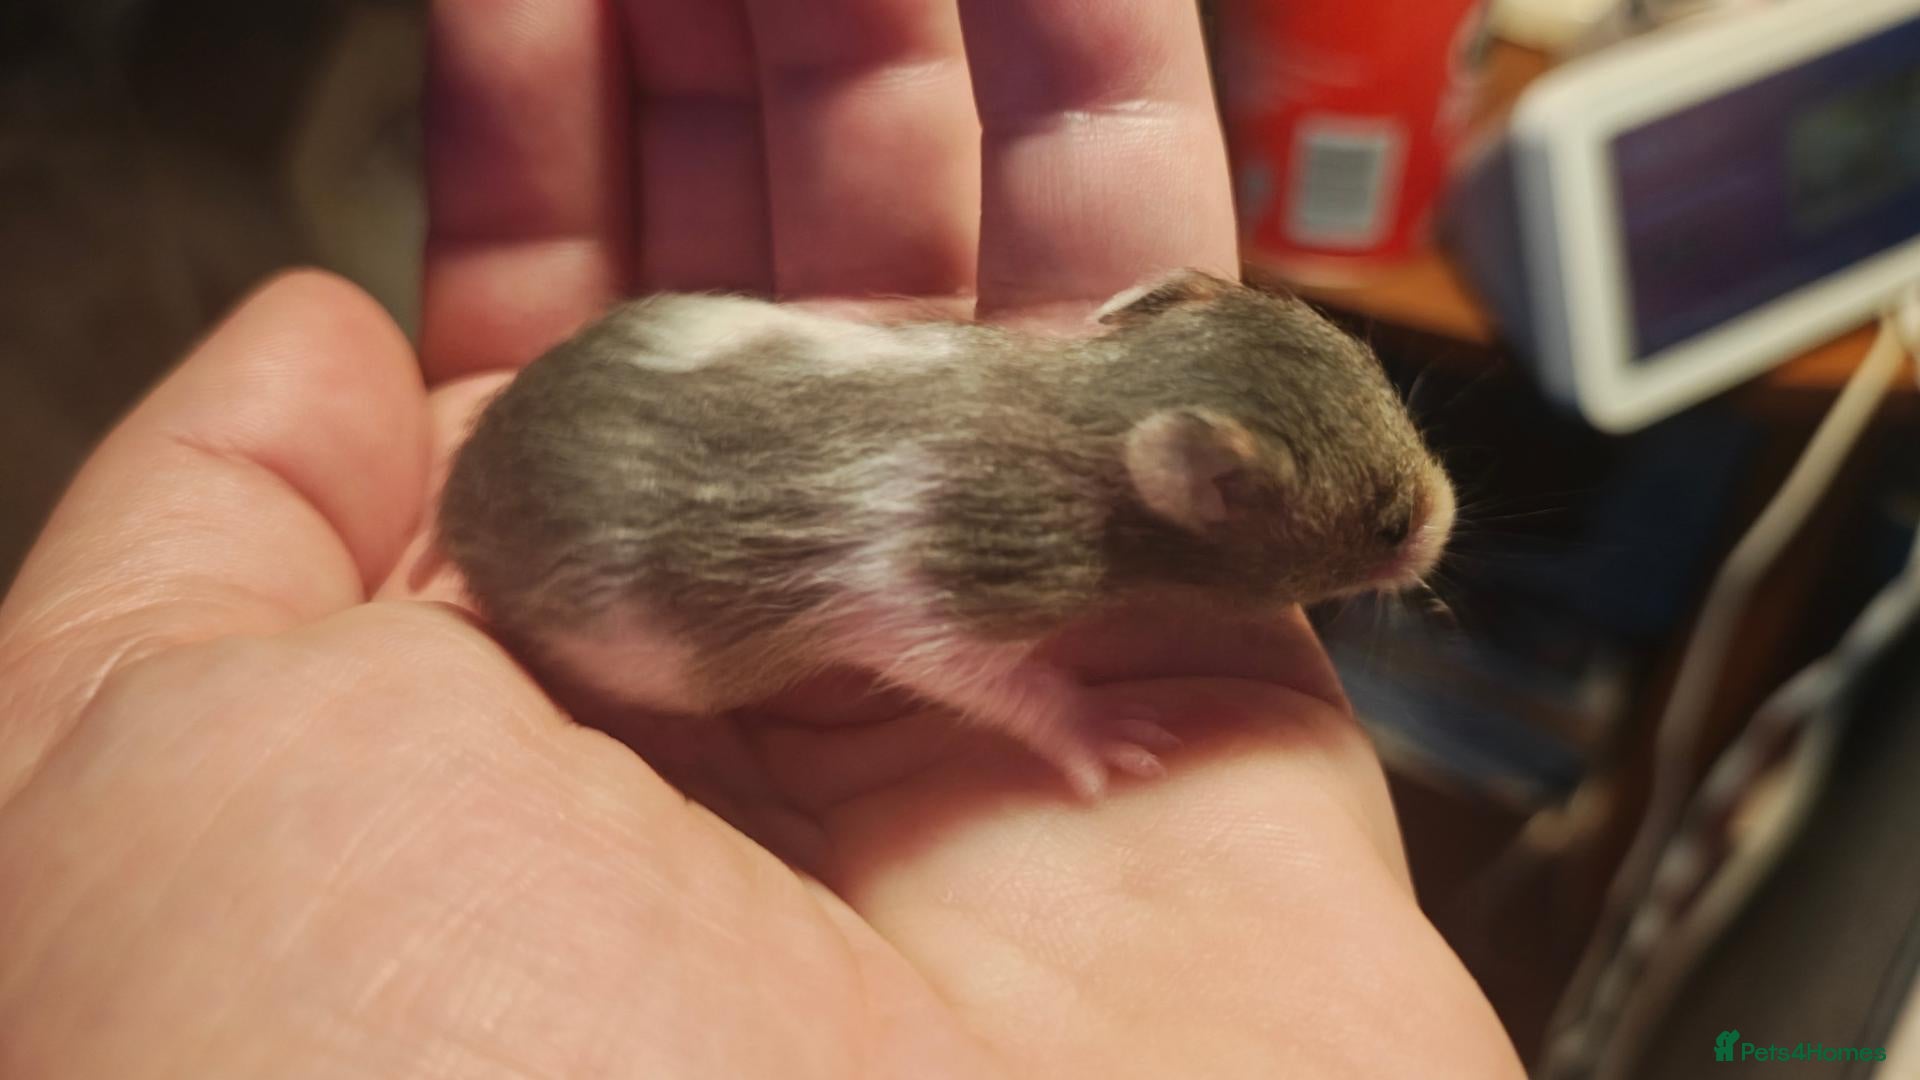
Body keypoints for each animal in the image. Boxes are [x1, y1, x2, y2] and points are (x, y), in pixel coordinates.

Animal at [435, 269, 1455, 798]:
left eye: (1372, 367)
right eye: (1387, 523)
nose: (1447, 513)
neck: (1108, 400)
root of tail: (461, 487)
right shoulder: (951, 587)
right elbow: (979, 674)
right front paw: (1099, 729)